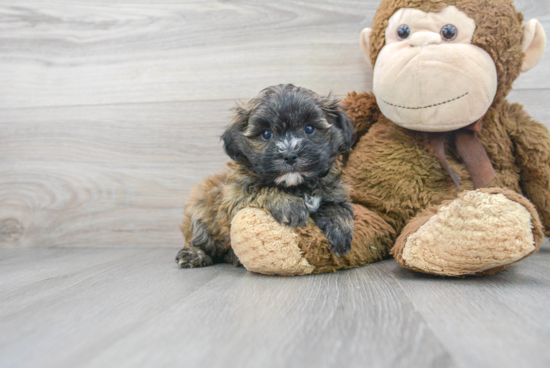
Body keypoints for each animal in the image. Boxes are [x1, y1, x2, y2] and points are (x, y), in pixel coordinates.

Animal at [178, 84, 358, 268]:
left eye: (309, 129)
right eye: (266, 134)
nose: (290, 155)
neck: (296, 185)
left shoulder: (333, 190)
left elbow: (337, 206)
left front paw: (341, 229)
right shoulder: (232, 199)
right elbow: (260, 190)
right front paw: (289, 205)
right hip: (200, 213)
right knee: (197, 238)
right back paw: (193, 254)